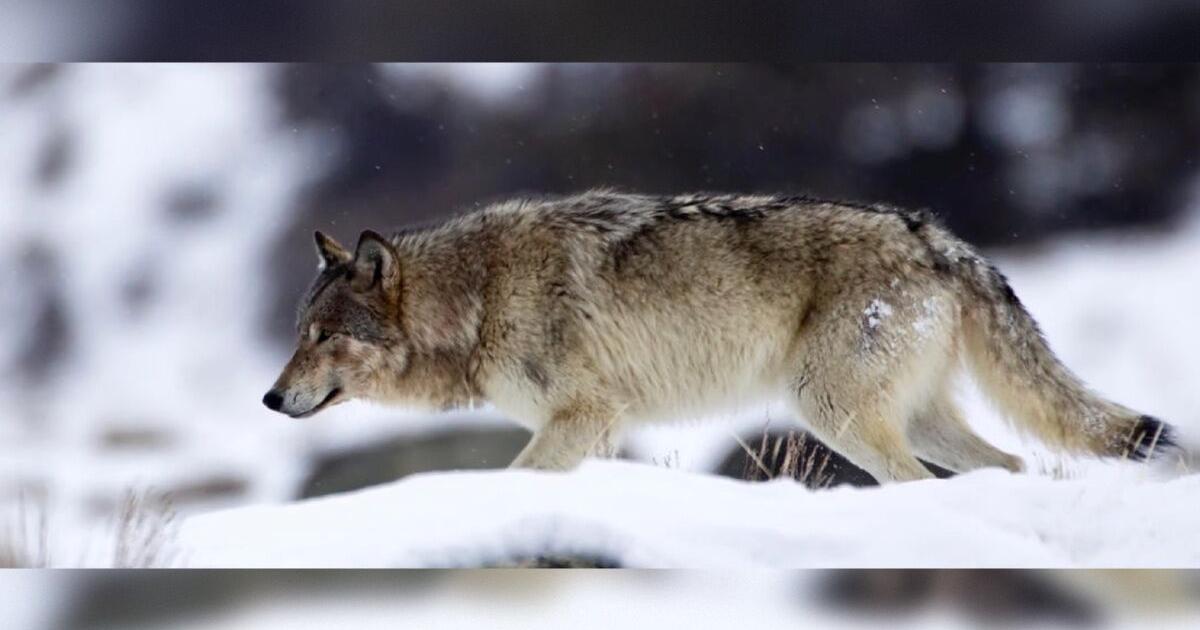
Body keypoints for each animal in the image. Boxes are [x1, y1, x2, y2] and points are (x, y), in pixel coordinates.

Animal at [262, 190, 1177, 482]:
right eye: (297, 333)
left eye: (321, 335)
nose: (271, 398)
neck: (479, 297)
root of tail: (938, 238)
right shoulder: (601, 432)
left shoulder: (583, 417)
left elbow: (511, 481)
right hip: (910, 418)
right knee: (1014, 466)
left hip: (833, 411)